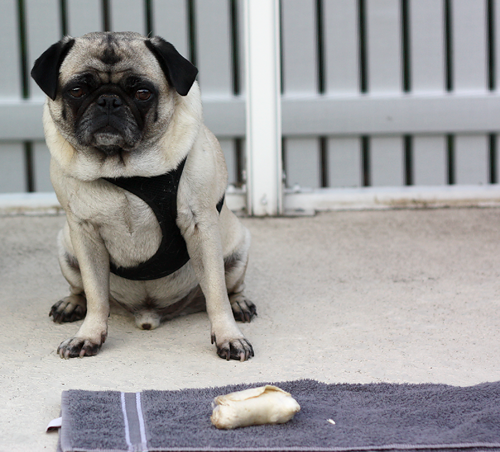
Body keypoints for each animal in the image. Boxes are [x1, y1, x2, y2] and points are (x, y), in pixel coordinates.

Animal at [31, 31, 256, 362]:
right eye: (77, 90)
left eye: (142, 93)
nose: (108, 100)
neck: (124, 168)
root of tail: (149, 313)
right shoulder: (84, 232)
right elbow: (96, 295)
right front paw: (88, 335)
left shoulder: (200, 225)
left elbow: (216, 294)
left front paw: (229, 337)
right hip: (66, 250)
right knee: (82, 290)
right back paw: (71, 304)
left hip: (238, 248)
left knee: (228, 288)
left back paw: (240, 303)